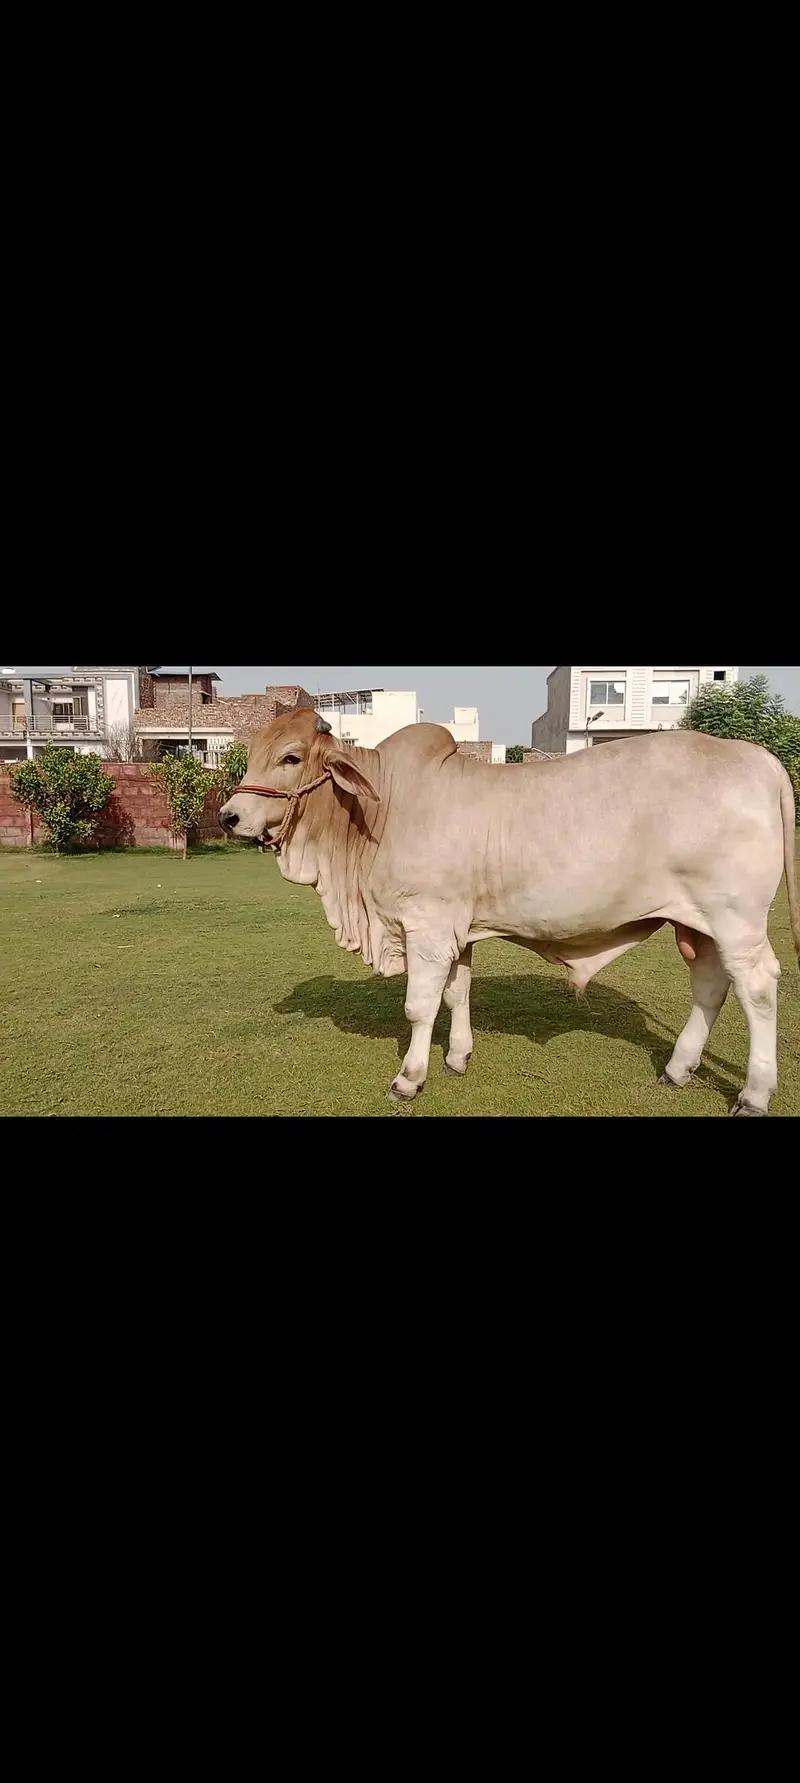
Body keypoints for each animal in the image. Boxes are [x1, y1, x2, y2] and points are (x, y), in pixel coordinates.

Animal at [219, 712, 800, 1115]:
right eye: (253, 752)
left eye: (292, 757)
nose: (229, 816)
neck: (380, 810)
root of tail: (761, 759)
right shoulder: (456, 932)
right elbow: (456, 993)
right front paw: (457, 1057)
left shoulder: (426, 926)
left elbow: (418, 1007)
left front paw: (409, 1079)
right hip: (698, 923)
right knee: (710, 984)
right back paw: (678, 1068)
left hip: (737, 921)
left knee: (757, 987)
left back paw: (754, 1094)